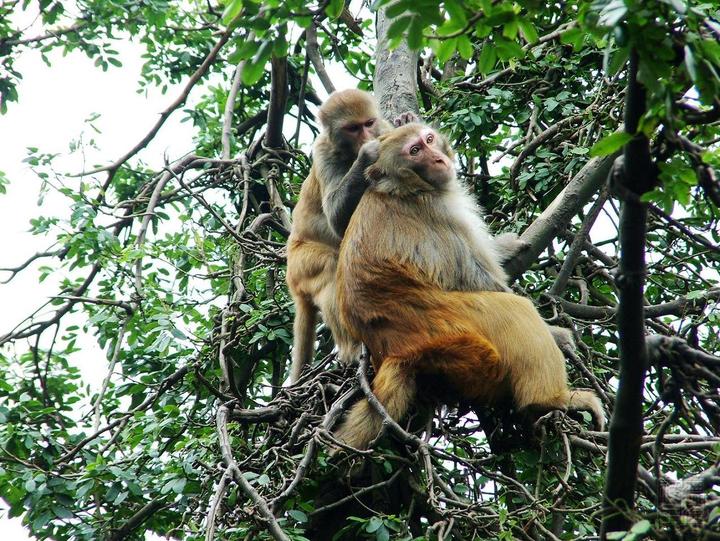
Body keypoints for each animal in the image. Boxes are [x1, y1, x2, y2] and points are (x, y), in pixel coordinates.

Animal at [334, 124, 604, 450]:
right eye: (415, 151)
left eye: (429, 140)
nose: (438, 159)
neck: (408, 189)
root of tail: (394, 350)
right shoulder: (440, 213)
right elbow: (480, 279)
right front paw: (557, 335)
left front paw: (504, 246)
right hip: (458, 326)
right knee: (515, 310)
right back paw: (549, 401)